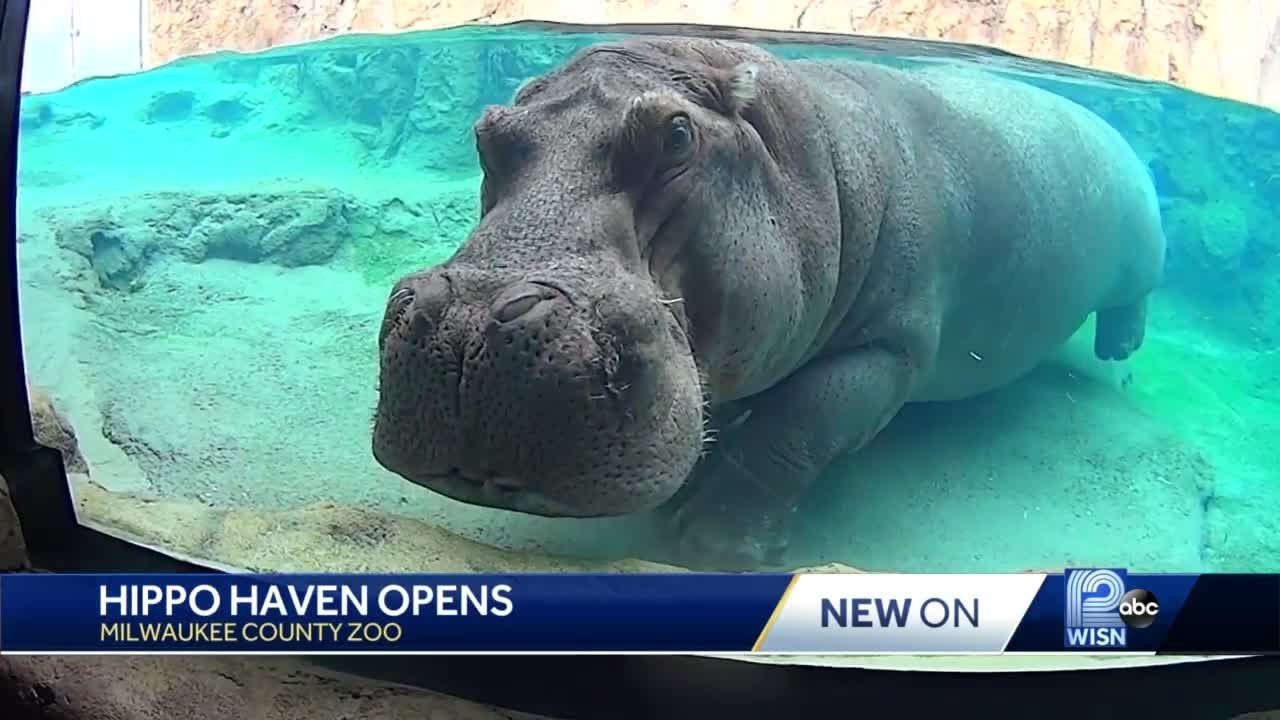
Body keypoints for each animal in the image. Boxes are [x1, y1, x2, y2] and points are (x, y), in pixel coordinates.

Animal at [372, 37, 1166, 570]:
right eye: (488, 133)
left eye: (676, 135)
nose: (468, 331)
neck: (810, 157)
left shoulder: (889, 349)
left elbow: (796, 425)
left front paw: (711, 543)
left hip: (1143, 242)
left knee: (1133, 296)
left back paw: (1119, 348)